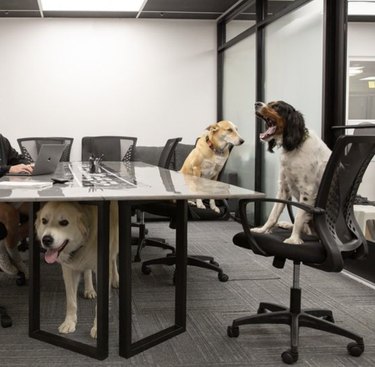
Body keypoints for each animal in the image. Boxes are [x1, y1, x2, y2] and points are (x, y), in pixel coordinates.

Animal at [35, 201, 119, 340]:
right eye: (44, 221)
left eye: (64, 222)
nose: (46, 240)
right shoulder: (68, 270)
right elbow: (71, 301)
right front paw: (69, 323)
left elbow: (100, 306)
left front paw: (98, 329)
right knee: (87, 270)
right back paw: (89, 289)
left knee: (113, 259)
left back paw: (116, 279)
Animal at [253, 100, 332, 244]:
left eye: (276, 106)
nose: (257, 103)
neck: (295, 145)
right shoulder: (283, 189)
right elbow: (273, 215)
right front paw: (262, 230)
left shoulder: (307, 191)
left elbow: (299, 217)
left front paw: (293, 239)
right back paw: (285, 224)